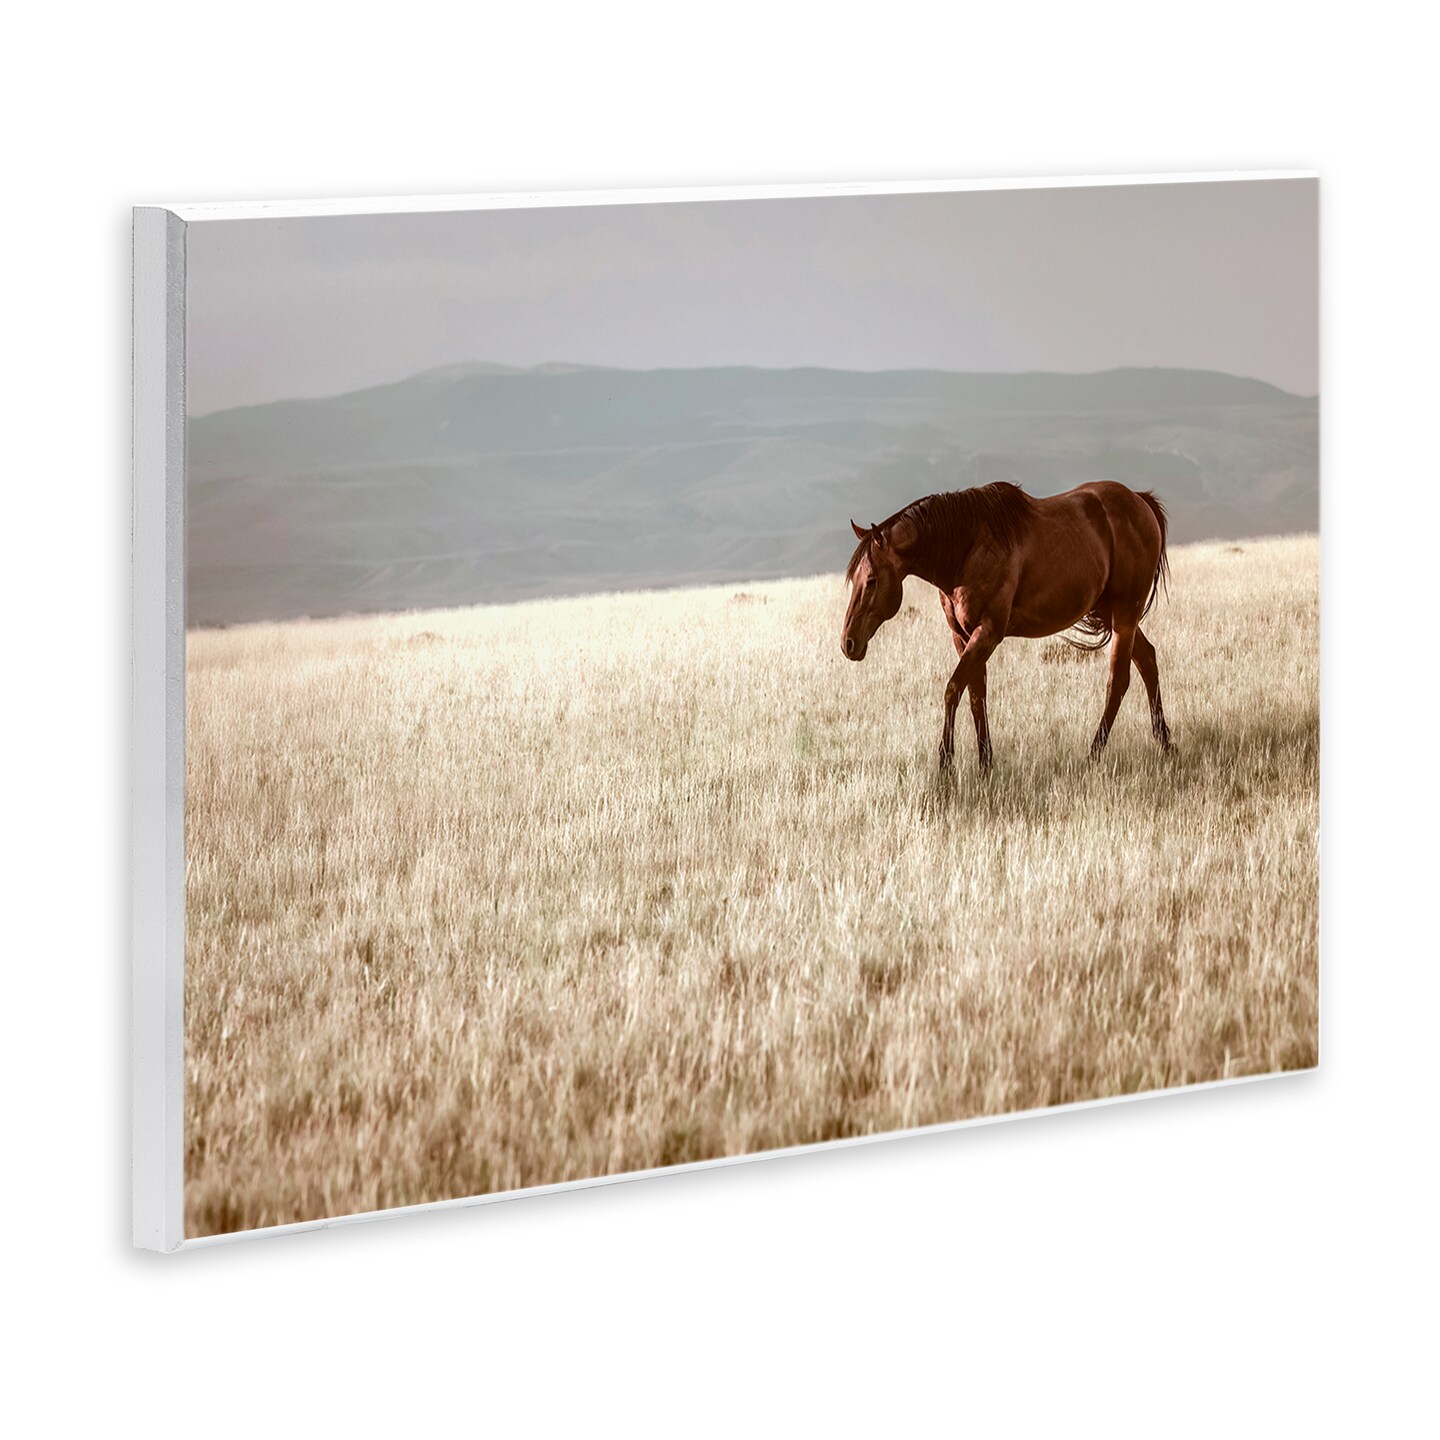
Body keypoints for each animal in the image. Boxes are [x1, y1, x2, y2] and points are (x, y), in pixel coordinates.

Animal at [840, 481, 1172, 770]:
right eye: (854, 578)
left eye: (871, 580)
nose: (848, 643)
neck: (966, 549)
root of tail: (1140, 500)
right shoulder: (963, 637)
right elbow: (976, 697)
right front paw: (985, 764)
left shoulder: (987, 633)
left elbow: (953, 690)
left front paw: (946, 766)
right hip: (1114, 616)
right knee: (1147, 660)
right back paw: (1165, 743)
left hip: (1125, 615)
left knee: (1118, 681)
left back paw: (1094, 755)